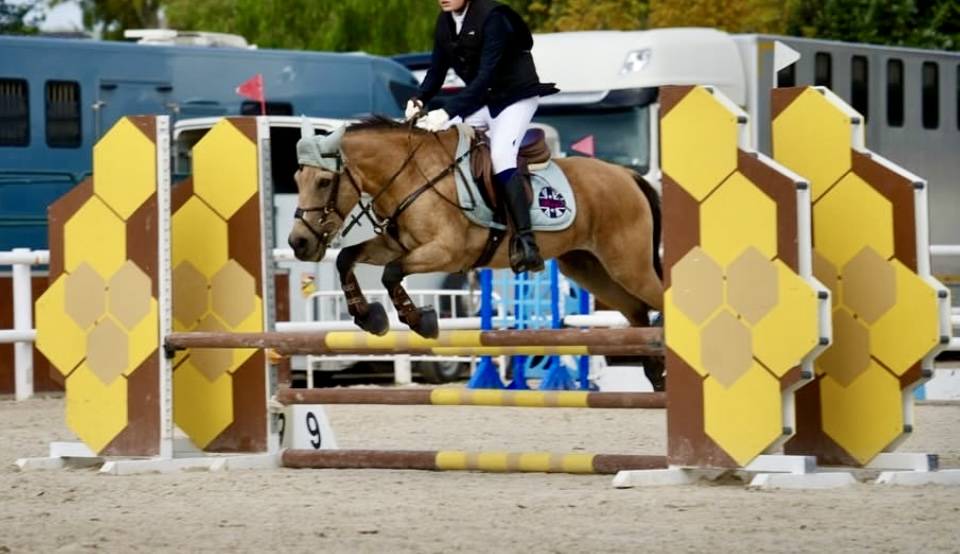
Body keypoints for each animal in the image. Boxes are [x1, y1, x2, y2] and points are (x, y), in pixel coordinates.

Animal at [288, 117, 665, 390]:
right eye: (296, 179)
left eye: (324, 181)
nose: (298, 243)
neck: (410, 176)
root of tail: (628, 176)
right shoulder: (396, 244)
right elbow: (346, 260)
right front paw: (370, 317)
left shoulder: (446, 250)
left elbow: (391, 273)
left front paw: (420, 321)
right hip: (589, 268)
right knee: (636, 310)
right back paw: (655, 371)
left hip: (627, 265)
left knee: (658, 300)